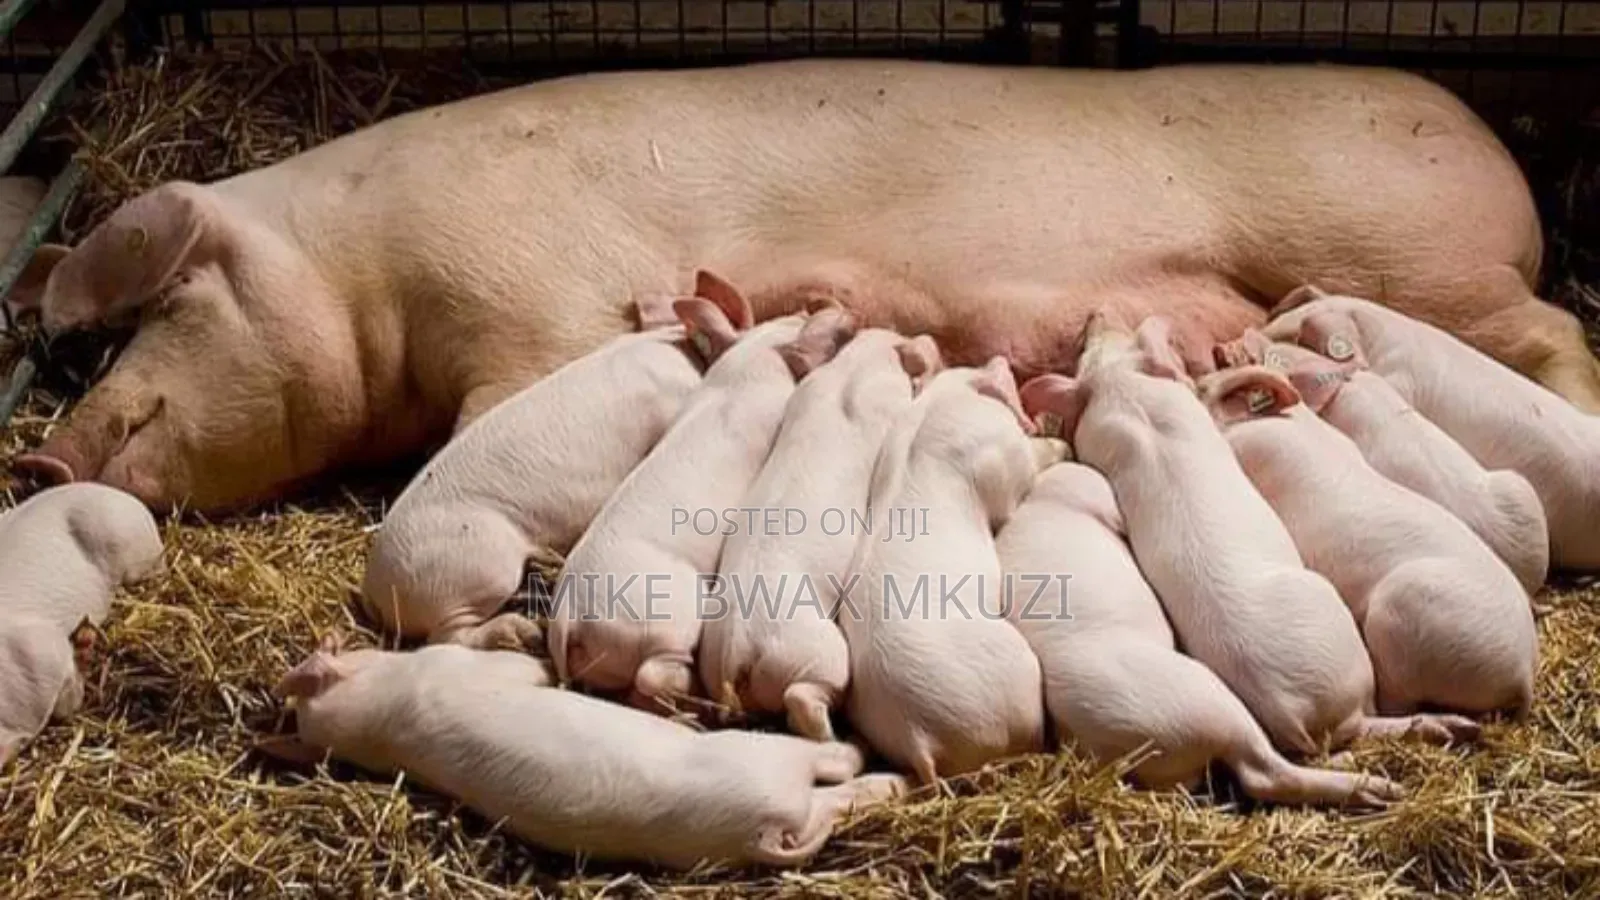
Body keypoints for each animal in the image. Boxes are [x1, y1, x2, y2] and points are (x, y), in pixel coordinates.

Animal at [8, 60, 1595, 515]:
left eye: (169, 305)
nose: (43, 452)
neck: (362, 277)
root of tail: (1494, 152)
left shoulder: (524, 296)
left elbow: (499, 415)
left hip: (1416, 258)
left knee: (1554, 327)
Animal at [265, 638, 907, 871]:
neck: (377, 723)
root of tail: (760, 833)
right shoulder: (459, 663)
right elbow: (522, 669)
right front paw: (544, 662)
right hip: (767, 758)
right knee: (836, 772)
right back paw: (880, 764)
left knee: (832, 803)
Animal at [840, 357, 1059, 784]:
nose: (1003, 360)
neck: (940, 399)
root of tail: (917, 734)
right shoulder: (1005, 463)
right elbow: (1021, 478)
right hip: (1015, 672)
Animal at [1020, 314, 1478, 756]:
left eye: (1091, 351)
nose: (1094, 314)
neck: (1130, 403)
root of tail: (1290, 711)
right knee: (1364, 723)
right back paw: (1454, 728)